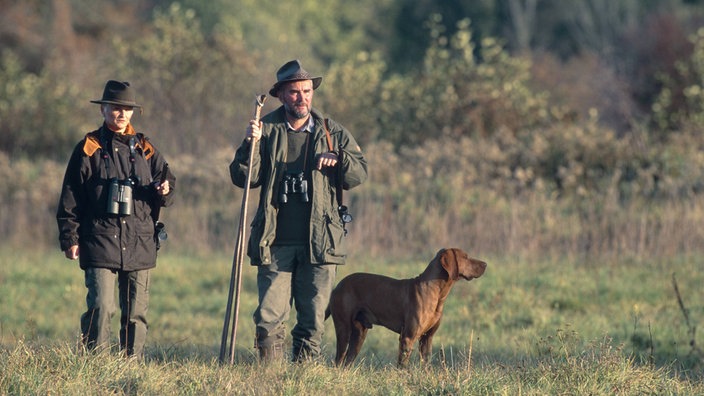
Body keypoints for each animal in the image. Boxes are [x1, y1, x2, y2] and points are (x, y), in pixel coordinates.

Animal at [326, 249, 486, 366]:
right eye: (465, 257)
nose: (485, 264)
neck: (435, 292)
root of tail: (337, 287)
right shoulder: (407, 338)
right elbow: (403, 366)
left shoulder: (427, 339)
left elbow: (426, 364)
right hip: (344, 330)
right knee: (338, 360)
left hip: (359, 334)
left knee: (346, 362)